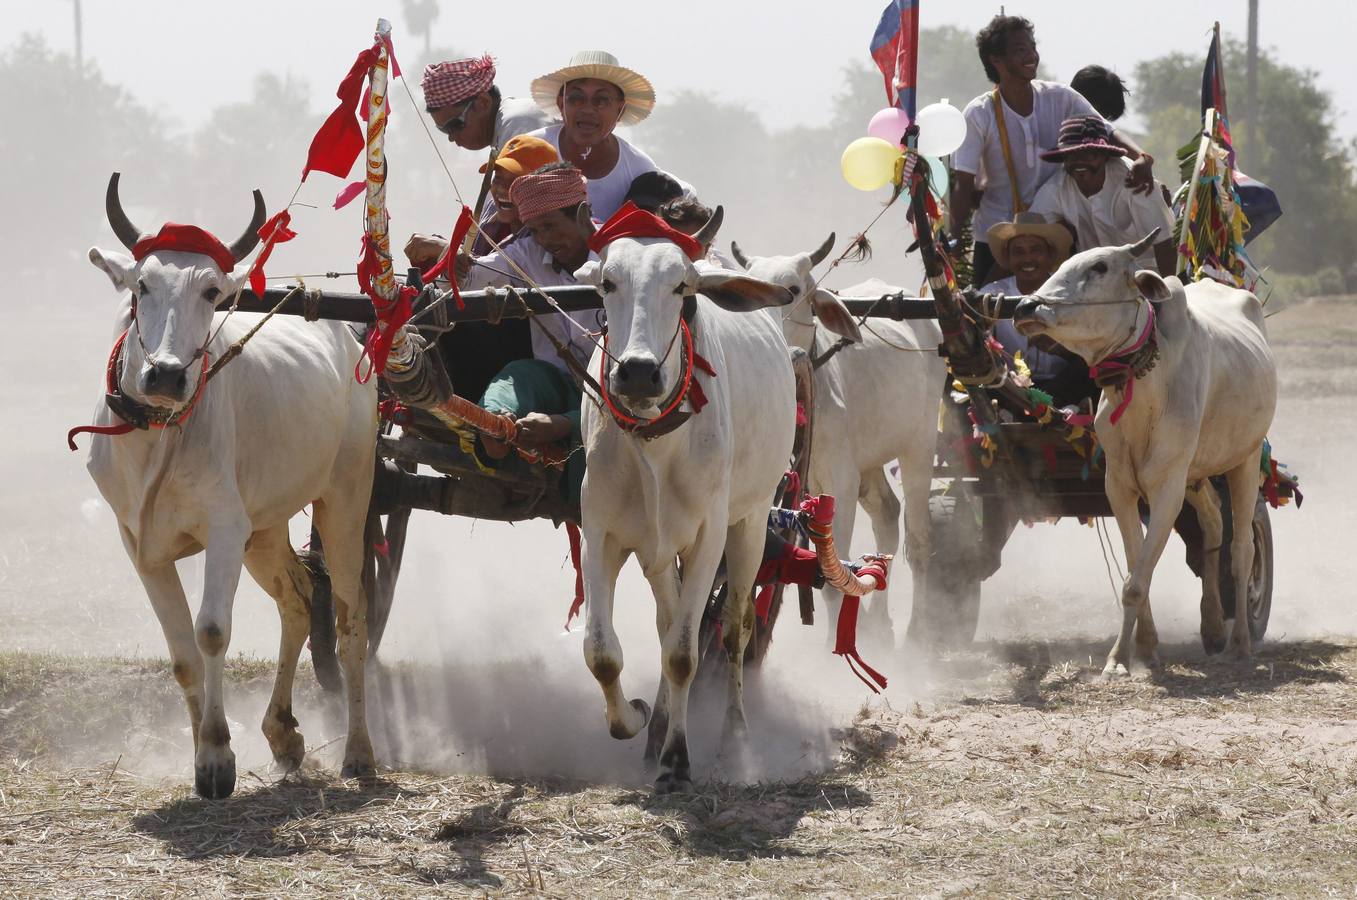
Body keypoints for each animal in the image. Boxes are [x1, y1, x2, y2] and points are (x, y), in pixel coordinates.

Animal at [85, 173, 379, 798]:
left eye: (212, 292)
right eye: (142, 284)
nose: (167, 374)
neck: (159, 437)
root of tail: (346, 332)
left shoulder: (223, 530)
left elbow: (212, 632)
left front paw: (218, 754)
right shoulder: (140, 546)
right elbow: (182, 654)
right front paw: (203, 750)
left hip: (345, 499)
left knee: (350, 618)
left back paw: (359, 752)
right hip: (265, 528)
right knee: (299, 598)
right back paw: (283, 733)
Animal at [572, 207, 792, 792]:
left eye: (682, 288)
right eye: (607, 282)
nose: (637, 371)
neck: (655, 439)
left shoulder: (708, 536)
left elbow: (684, 655)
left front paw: (677, 759)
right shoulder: (600, 531)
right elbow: (602, 653)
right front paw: (636, 719)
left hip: (751, 523)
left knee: (735, 628)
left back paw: (734, 736)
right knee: (666, 622)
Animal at [732, 237, 944, 648]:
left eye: (793, 290)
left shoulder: (839, 484)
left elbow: (832, 575)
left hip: (920, 444)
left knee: (920, 538)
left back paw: (917, 631)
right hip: (869, 459)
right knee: (888, 517)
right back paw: (880, 625)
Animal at [1015, 232, 1275, 676]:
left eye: (1099, 266)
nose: (1024, 307)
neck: (1144, 384)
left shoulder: (1166, 488)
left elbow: (1138, 579)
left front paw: (1121, 657)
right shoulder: (1120, 487)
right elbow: (1135, 573)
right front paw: (1141, 649)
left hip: (1244, 458)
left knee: (1242, 551)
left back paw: (1239, 642)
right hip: (1197, 475)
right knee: (1212, 526)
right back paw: (1211, 626)